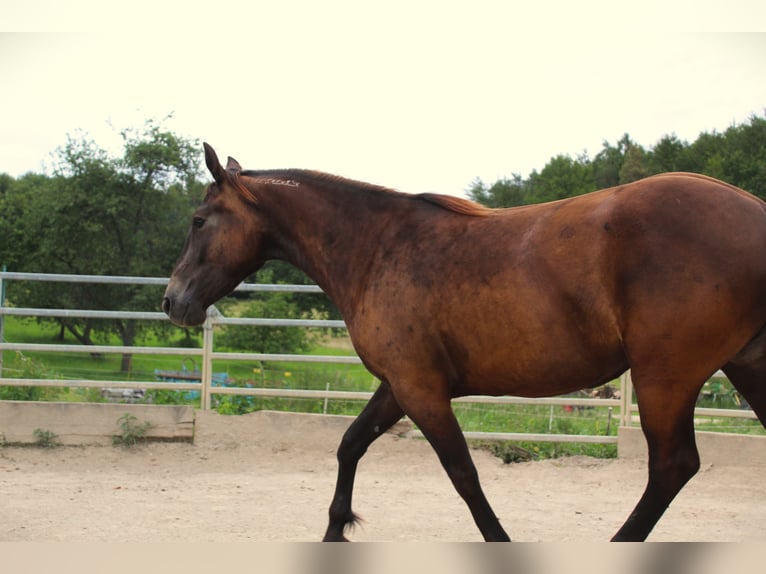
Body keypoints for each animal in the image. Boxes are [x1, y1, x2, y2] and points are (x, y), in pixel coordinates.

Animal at [162, 144, 766, 544]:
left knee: (671, 467)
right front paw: (335, 532)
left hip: (665, 378)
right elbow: (351, 444)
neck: (376, 249)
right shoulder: (399, 385)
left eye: (198, 220)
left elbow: (464, 475)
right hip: (742, 367)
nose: (172, 302)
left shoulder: (422, 391)